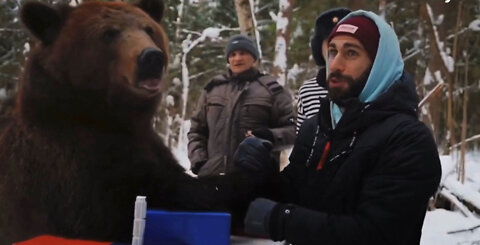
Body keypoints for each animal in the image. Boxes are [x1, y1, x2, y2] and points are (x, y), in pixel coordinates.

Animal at [0, 0, 274, 243]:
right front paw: (253, 173)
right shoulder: (69, 166)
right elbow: (159, 197)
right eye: (108, 33)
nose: (151, 57)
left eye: (148, 29)